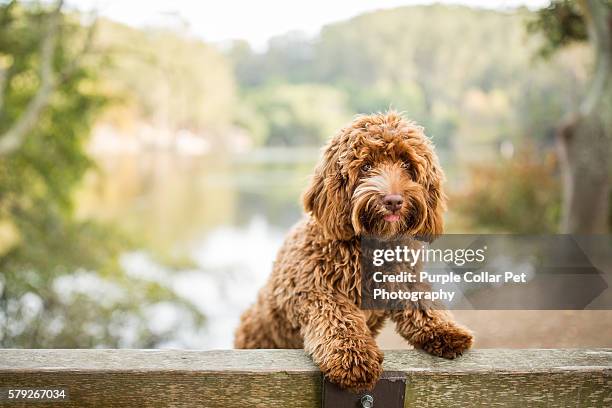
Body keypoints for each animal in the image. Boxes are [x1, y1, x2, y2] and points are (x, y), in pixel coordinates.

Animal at [234, 111, 474, 392]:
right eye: (366, 166)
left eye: (406, 164)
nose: (393, 201)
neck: (371, 245)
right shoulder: (315, 290)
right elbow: (340, 319)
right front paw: (354, 359)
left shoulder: (403, 277)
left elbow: (421, 302)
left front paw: (446, 330)